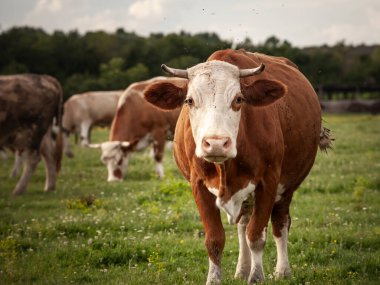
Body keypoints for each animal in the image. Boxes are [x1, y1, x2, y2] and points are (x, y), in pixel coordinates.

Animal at [145, 49, 332, 284]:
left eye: (238, 99)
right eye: (189, 100)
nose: (216, 143)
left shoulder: (268, 182)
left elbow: (256, 235)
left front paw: (257, 276)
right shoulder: (198, 185)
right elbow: (215, 239)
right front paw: (215, 279)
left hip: (287, 186)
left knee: (280, 223)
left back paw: (282, 270)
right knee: (243, 224)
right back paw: (242, 269)